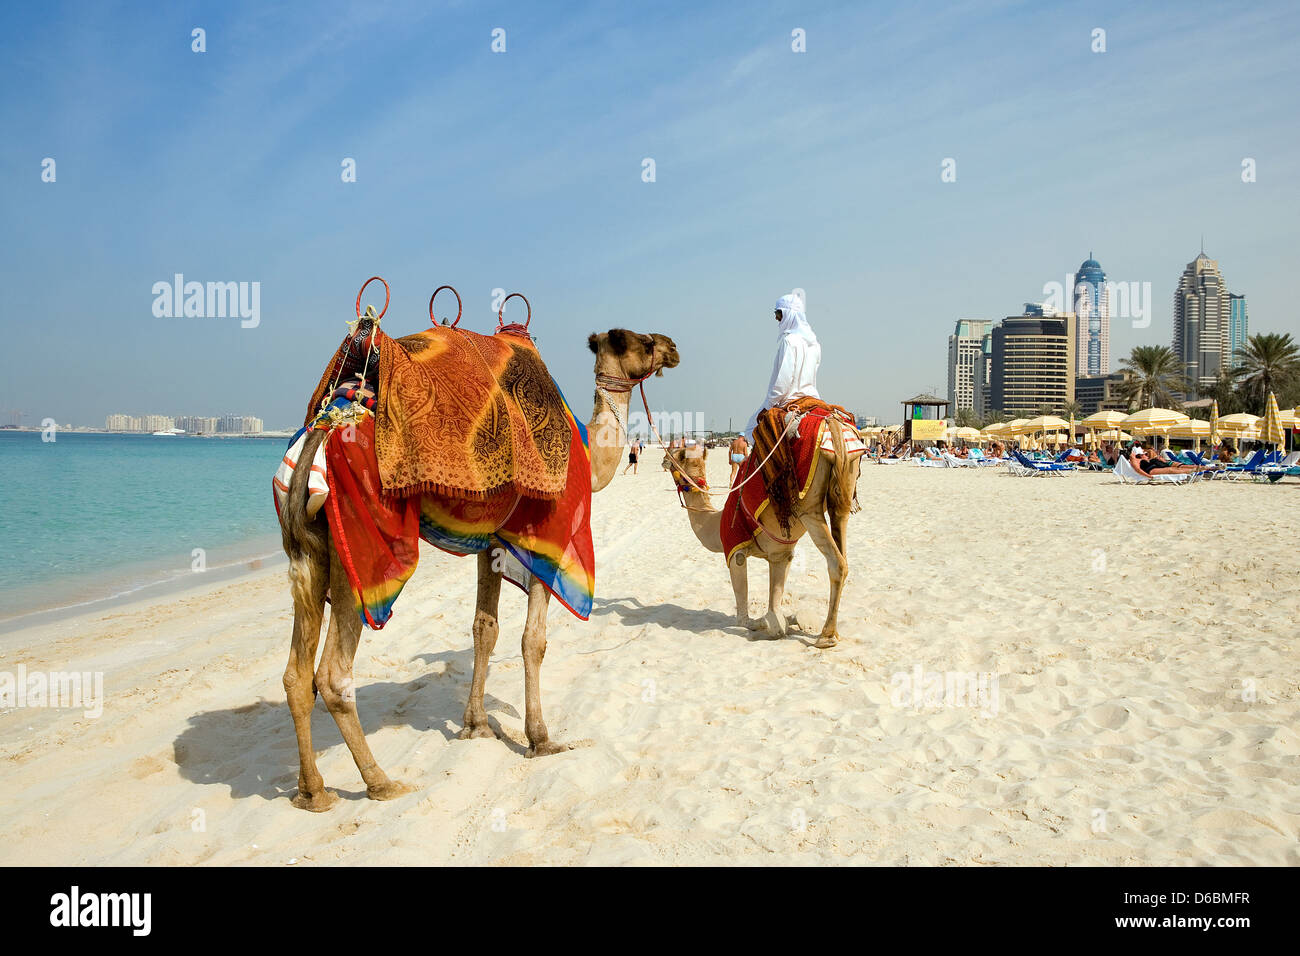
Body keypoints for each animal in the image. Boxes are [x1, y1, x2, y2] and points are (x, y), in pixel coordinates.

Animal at [660, 426, 863, 650]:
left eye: (675, 452)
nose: (663, 459)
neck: (715, 522)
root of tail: (834, 427)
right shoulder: (780, 555)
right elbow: (775, 604)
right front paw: (794, 619)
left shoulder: (735, 550)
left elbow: (746, 619)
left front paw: (773, 624)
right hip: (842, 496)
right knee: (843, 550)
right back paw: (833, 633)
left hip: (809, 509)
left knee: (837, 563)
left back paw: (826, 636)